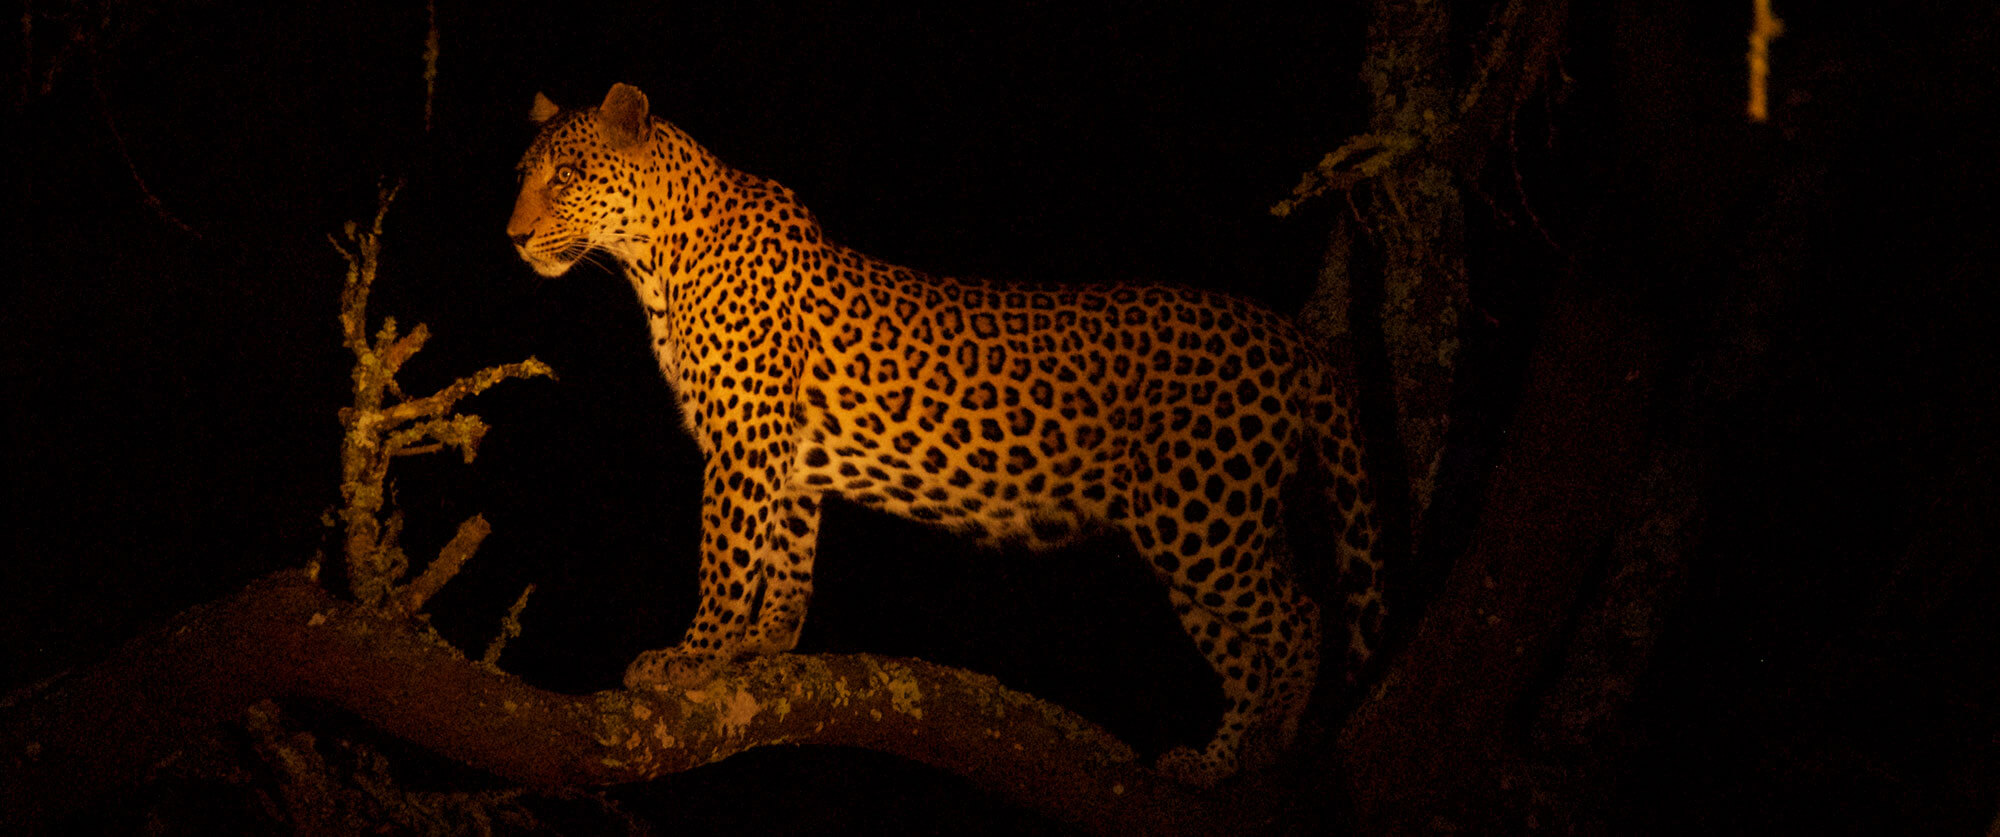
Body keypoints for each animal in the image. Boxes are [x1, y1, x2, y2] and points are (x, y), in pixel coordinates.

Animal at [508, 80, 1384, 784]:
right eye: (524, 176)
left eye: (569, 176)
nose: (513, 235)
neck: (653, 257)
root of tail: (1289, 338)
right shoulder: (785, 456)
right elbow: (787, 556)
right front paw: (765, 645)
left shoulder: (744, 443)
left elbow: (726, 555)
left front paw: (691, 656)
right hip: (1202, 534)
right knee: (1248, 653)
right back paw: (1213, 764)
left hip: (1205, 521)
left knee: (1300, 618)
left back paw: (1274, 745)